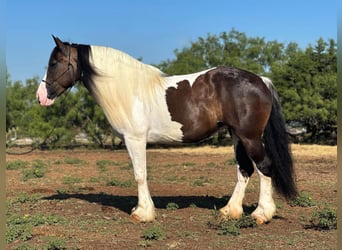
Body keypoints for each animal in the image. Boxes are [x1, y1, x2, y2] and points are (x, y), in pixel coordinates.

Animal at [36, 35, 296, 225]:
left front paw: (143, 213)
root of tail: (261, 80)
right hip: (237, 136)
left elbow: (140, 174)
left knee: (264, 168)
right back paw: (229, 211)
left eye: (54, 63)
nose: (41, 97)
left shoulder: (135, 140)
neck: (129, 91)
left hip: (249, 137)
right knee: (244, 170)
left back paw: (261, 214)